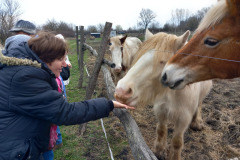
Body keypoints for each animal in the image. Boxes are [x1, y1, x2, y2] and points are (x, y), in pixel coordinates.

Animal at [114, 29, 212, 159]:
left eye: (163, 62)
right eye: (140, 57)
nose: (121, 91)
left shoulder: (183, 119)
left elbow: (177, 142)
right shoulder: (161, 110)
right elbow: (161, 130)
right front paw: (159, 151)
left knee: (199, 104)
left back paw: (197, 123)